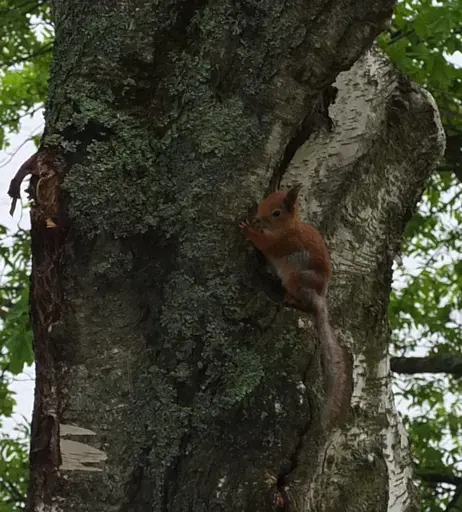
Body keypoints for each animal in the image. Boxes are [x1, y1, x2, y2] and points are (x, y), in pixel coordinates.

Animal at [242, 184, 346, 428]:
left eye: (276, 212)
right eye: (264, 201)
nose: (257, 218)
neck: (289, 227)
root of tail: (320, 299)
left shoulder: (282, 243)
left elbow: (264, 244)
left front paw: (248, 230)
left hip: (295, 276)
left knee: (305, 305)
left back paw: (290, 299)